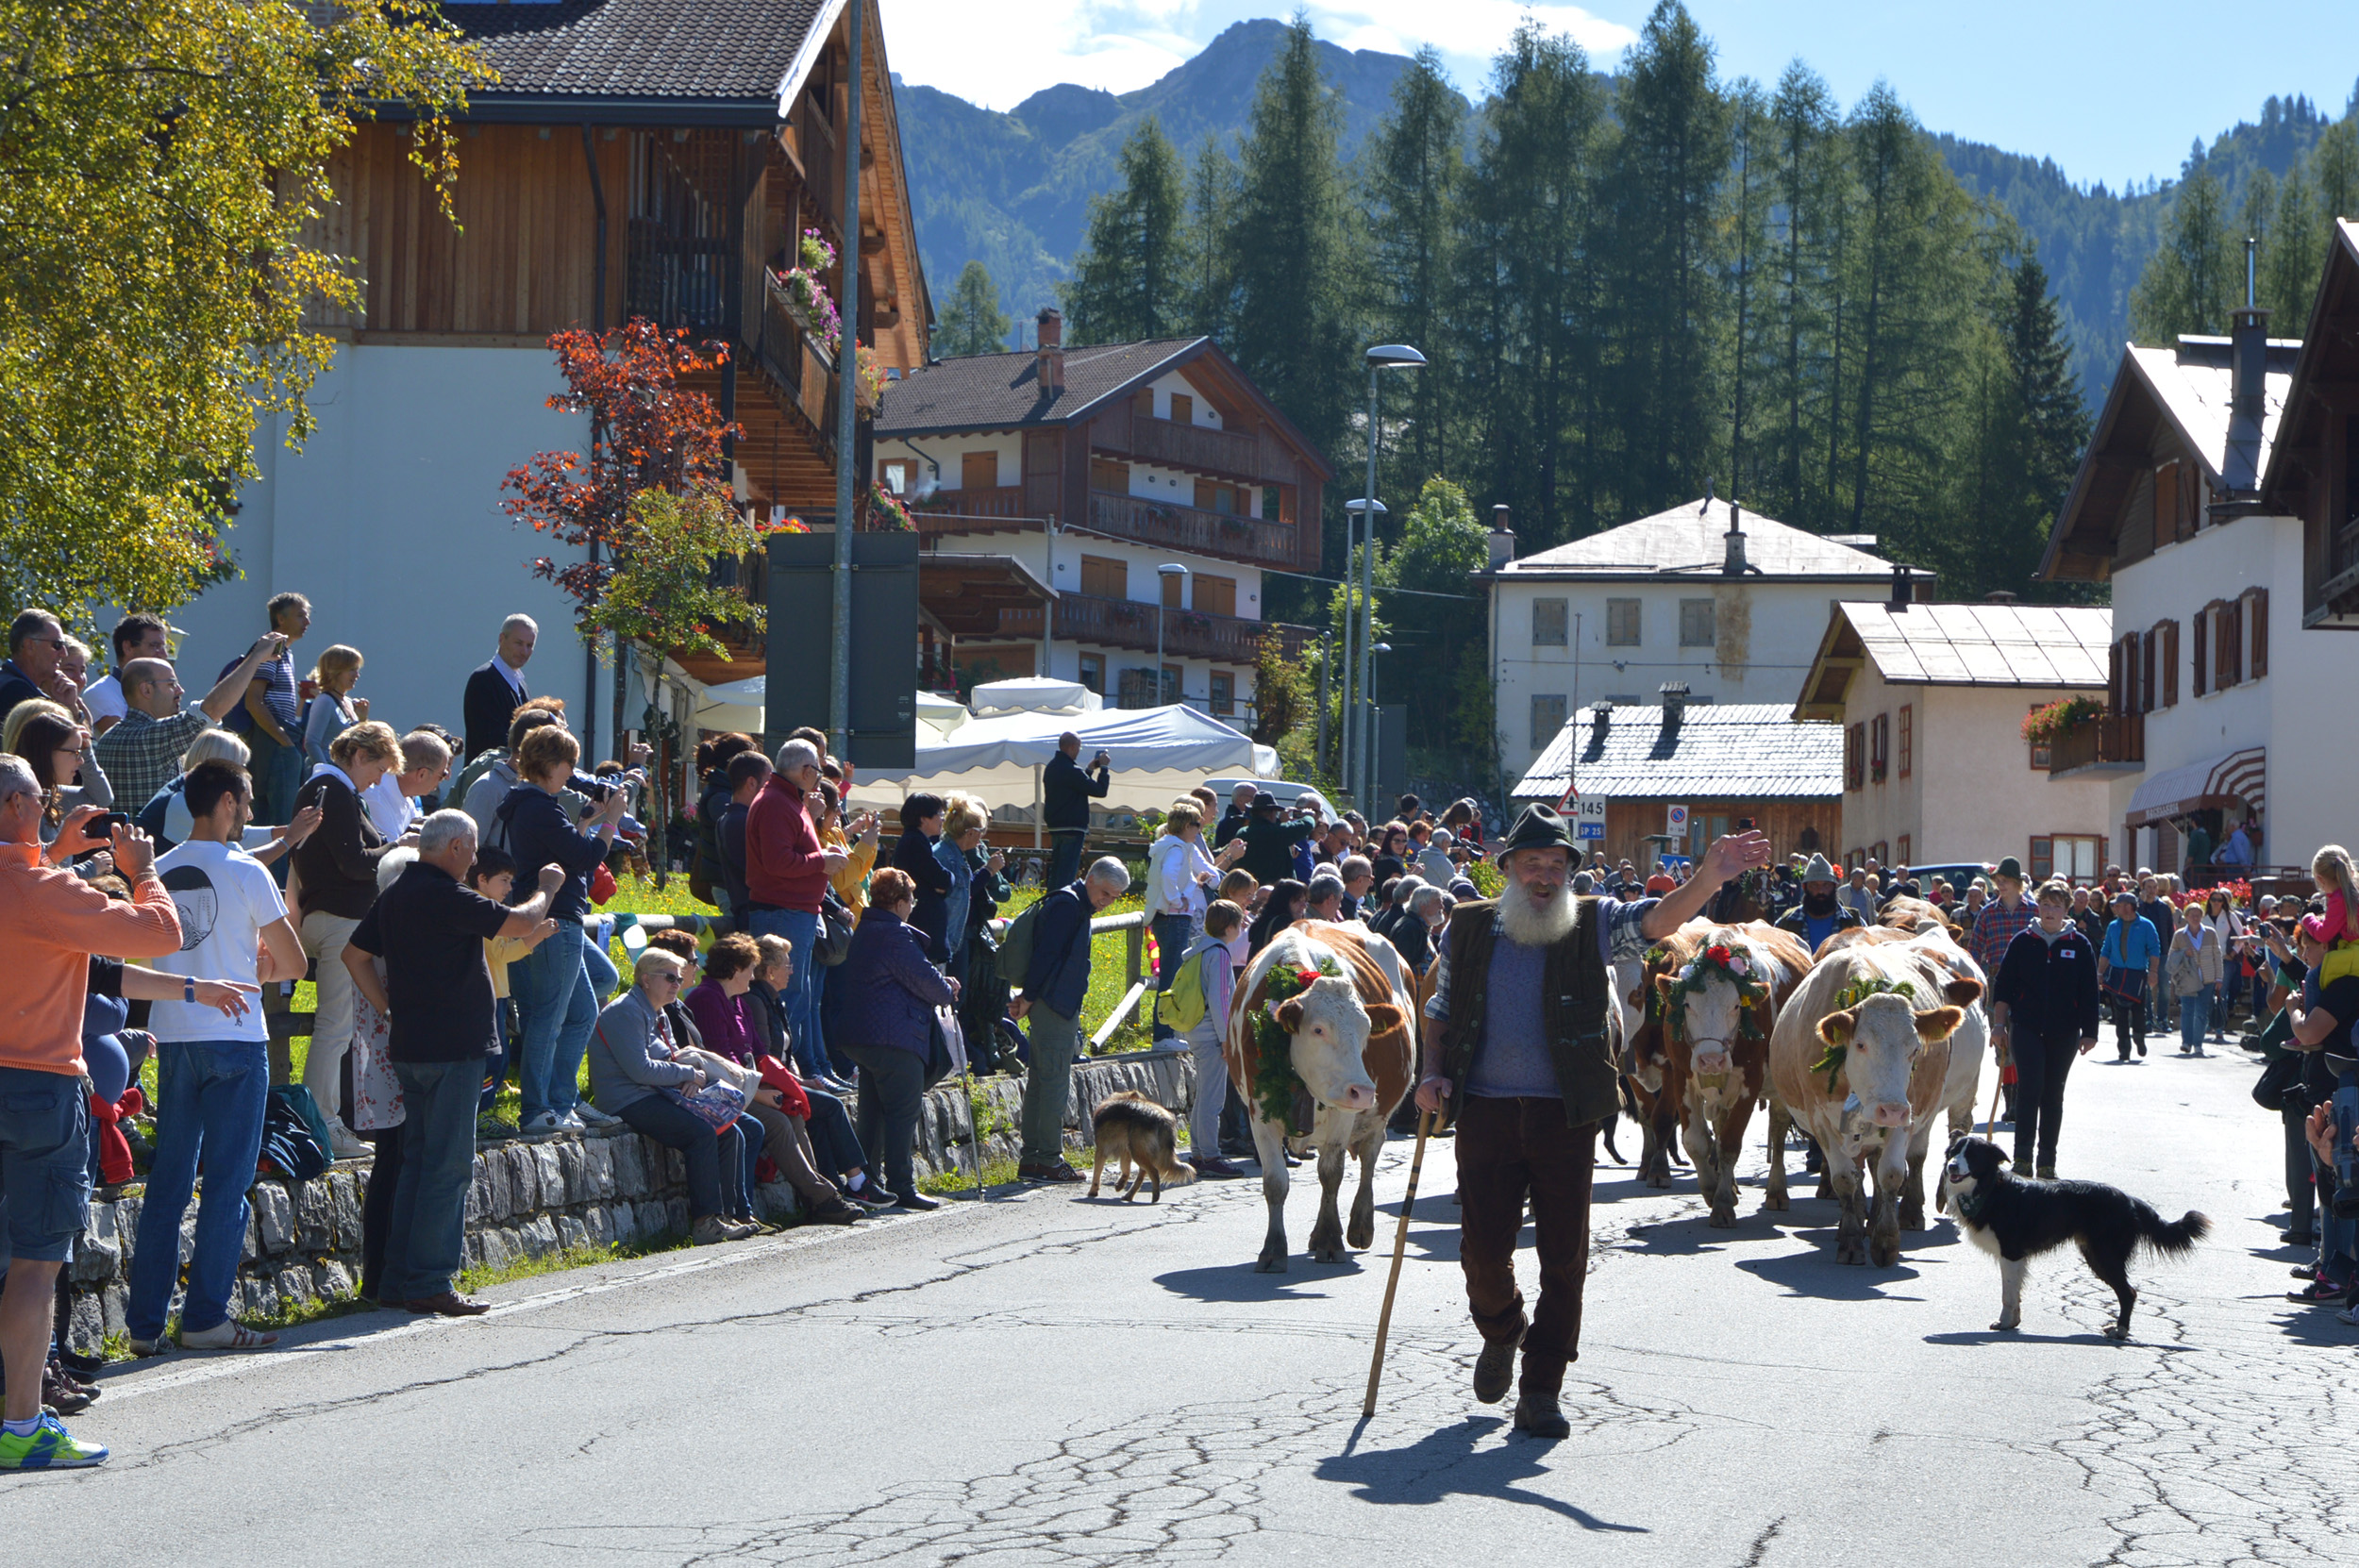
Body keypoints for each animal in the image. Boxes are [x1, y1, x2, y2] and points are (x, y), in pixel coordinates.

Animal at [1227, 924, 1406, 1263]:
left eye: (1366, 1030)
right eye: (1318, 1029)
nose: (1363, 1091)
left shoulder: (1343, 1113)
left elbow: (1331, 1174)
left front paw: (1329, 1240)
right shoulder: (1259, 1112)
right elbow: (1275, 1182)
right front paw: (1273, 1250)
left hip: (1377, 1118)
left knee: (1368, 1158)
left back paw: (1359, 1226)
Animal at [1642, 919, 1821, 1226]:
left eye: (1737, 1006)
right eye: (1687, 1004)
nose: (1711, 1060)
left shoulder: (1750, 1081)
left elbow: (1730, 1143)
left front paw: (1723, 1203)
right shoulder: (1681, 1076)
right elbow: (1696, 1141)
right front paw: (1711, 1190)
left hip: (1780, 1083)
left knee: (1777, 1129)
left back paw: (1777, 1190)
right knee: (1721, 1123)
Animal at [1765, 933, 1982, 1263]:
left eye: (1915, 1049)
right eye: (1861, 1044)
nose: (1889, 1110)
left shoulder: (1908, 1113)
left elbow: (1890, 1174)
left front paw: (1886, 1239)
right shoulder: (1821, 1120)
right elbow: (1845, 1178)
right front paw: (1850, 1239)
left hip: (1956, 1095)